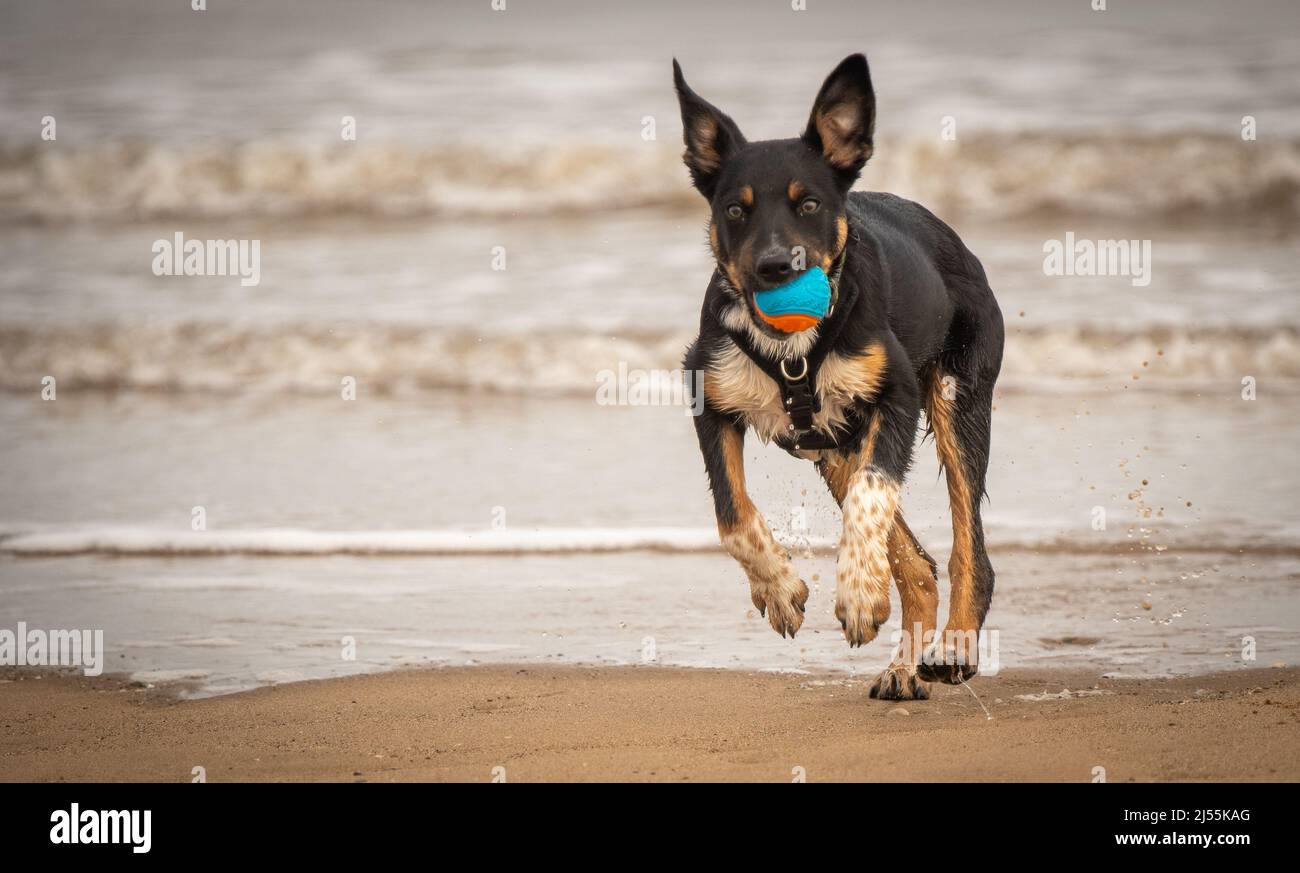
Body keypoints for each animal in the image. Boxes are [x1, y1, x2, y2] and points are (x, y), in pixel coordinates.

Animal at [676, 52, 998, 701]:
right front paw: (780, 591)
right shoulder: (708, 394)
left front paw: (858, 597)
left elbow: (870, 496)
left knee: (967, 547)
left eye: (808, 205)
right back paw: (901, 669)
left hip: (958, 398)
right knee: (918, 566)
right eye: (734, 210)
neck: (792, 349)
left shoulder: (896, 396)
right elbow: (731, 514)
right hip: (834, 445)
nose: (776, 268)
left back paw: (952, 647)